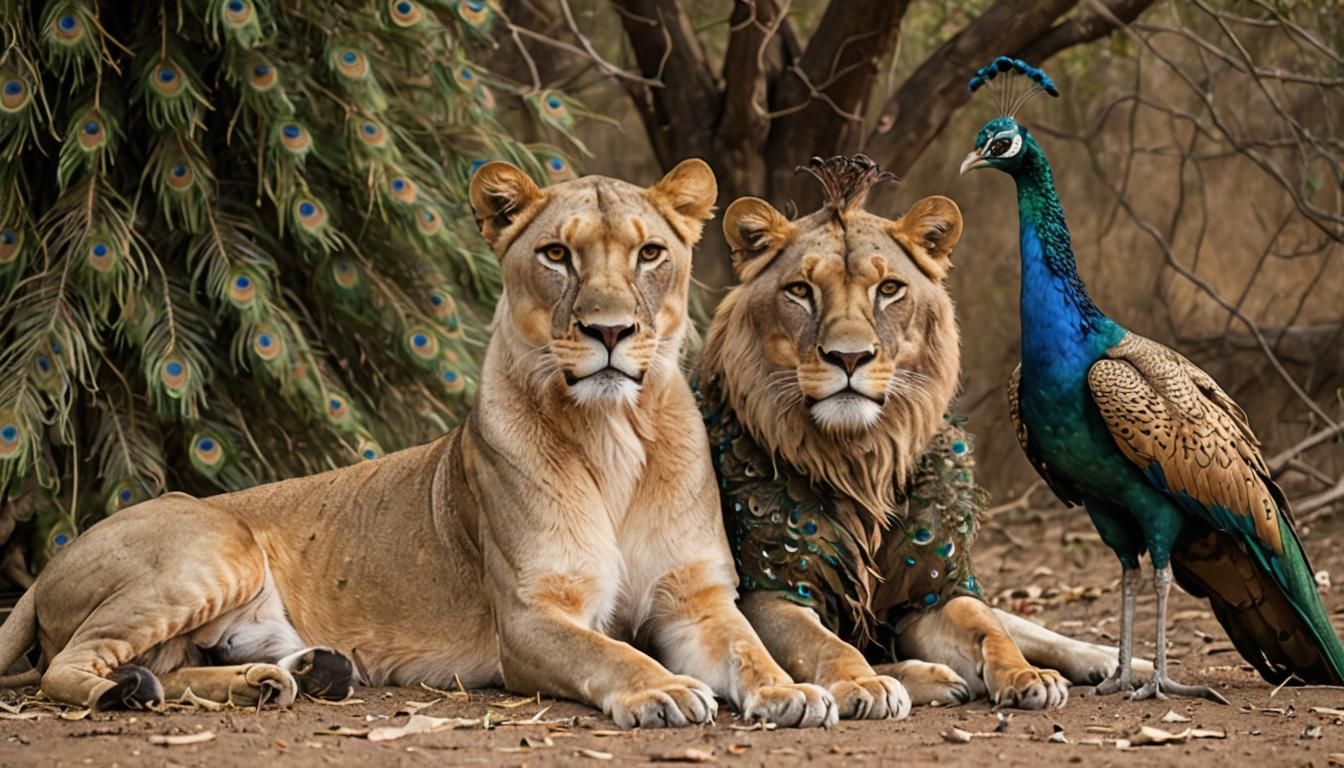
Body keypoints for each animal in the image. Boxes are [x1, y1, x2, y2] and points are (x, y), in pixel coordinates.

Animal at [0, 159, 840, 728]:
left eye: (649, 253)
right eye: (557, 255)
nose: (609, 331)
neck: (614, 439)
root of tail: (51, 563)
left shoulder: (696, 599)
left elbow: (750, 648)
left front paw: (794, 690)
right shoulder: (530, 619)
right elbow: (613, 652)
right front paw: (662, 689)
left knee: (179, 665)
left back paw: (286, 676)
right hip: (213, 547)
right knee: (67, 667)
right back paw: (129, 691)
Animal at [698, 155, 1148, 709]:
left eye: (889, 289)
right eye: (800, 291)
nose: (849, 357)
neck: (860, 460)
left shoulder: (933, 589)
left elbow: (989, 631)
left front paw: (1027, 677)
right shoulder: (770, 592)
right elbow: (825, 644)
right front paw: (867, 681)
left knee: (1022, 626)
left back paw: (1121, 663)